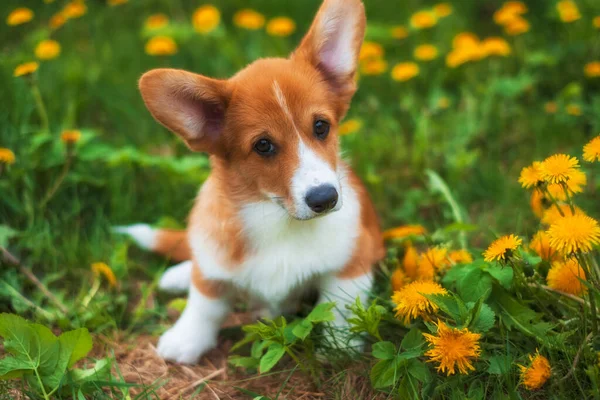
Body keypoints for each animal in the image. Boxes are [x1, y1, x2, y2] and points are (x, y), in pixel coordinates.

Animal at [118, 0, 384, 364]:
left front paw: (337, 349)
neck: (280, 222)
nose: (324, 198)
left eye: (321, 127)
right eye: (263, 146)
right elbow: (205, 302)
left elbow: (339, 309)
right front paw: (185, 340)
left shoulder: (351, 265)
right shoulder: (214, 261)